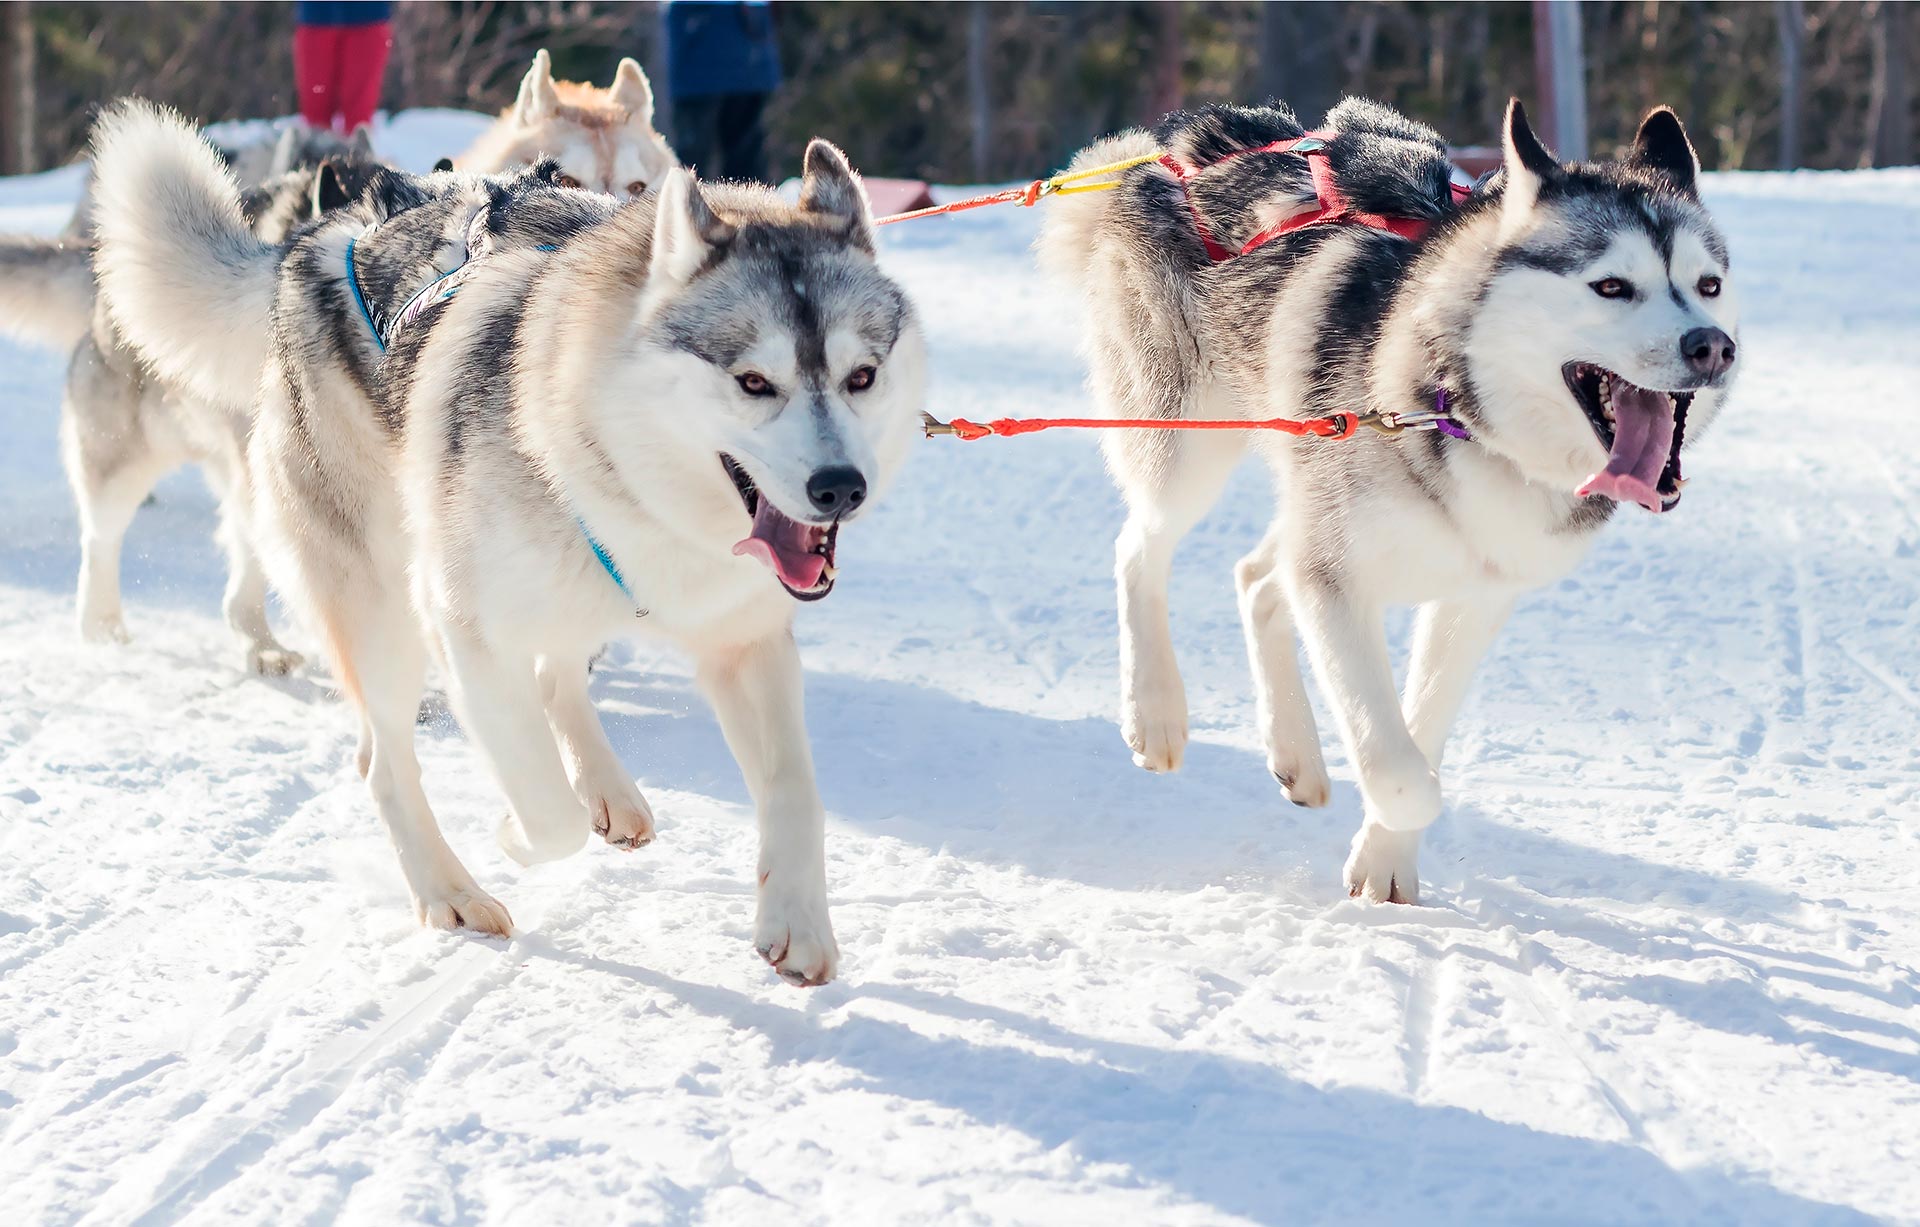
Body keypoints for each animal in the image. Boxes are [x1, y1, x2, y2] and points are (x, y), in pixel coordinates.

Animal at [1044, 98, 1735, 902]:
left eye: (1709, 285)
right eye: (1612, 286)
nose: (1712, 347)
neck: (1461, 412)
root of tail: (1180, 140)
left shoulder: (1473, 598)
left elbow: (1421, 726)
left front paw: (1386, 860)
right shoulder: (1334, 582)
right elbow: (1405, 771)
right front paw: (1394, 824)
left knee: (1257, 579)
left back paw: (1296, 752)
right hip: (1189, 446)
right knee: (1140, 549)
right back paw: (1155, 712)